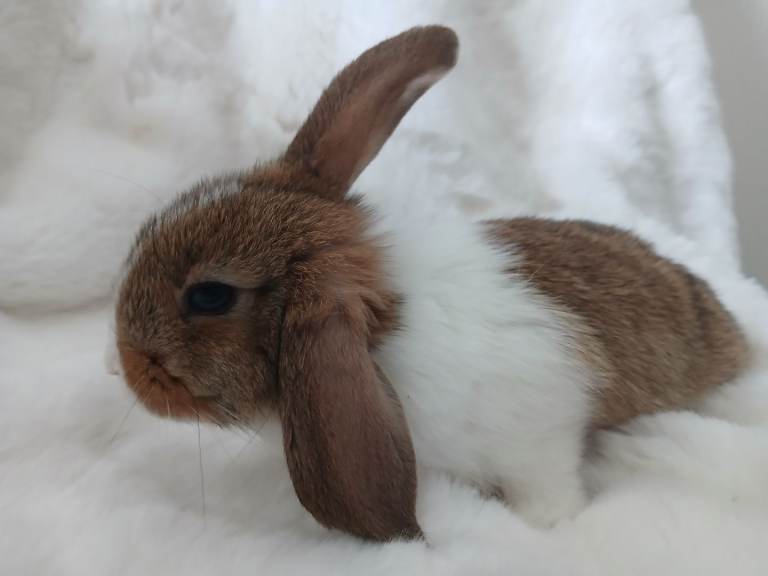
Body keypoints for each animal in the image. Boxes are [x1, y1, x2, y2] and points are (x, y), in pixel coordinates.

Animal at [113, 26, 750, 542]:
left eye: (210, 296)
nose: (124, 365)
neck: (380, 336)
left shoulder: (542, 427)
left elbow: (551, 488)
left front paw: (541, 525)